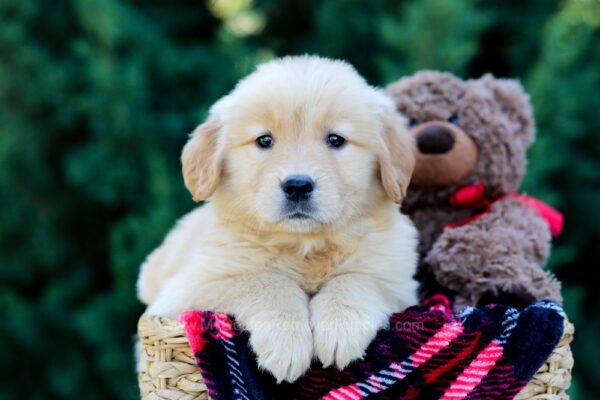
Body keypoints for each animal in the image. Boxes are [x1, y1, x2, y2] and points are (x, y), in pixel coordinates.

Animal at [137, 54, 418, 382]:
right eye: (264, 140)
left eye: (336, 139)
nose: (297, 186)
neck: (303, 246)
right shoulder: (185, 292)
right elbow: (263, 279)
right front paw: (287, 341)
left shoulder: (399, 283)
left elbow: (358, 278)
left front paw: (340, 327)